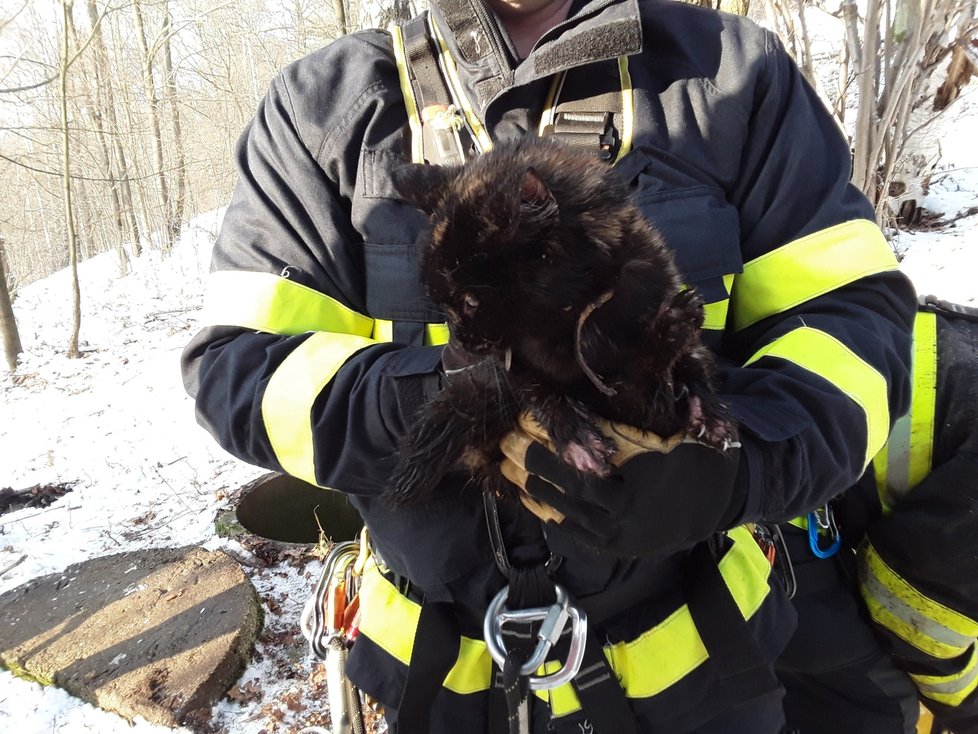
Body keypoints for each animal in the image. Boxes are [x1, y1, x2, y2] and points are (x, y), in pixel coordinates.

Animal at [386, 138, 736, 506]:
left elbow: (684, 366)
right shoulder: (513, 361)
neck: (568, 321)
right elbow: (538, 388)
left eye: (470, 301)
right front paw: (576, 437)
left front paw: (708, 410)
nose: (462, 342)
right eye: (442, 303)